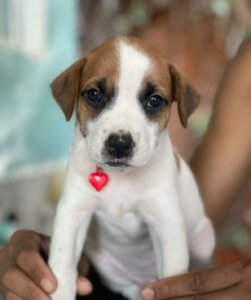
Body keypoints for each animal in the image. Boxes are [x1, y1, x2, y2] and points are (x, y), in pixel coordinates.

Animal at [49, 37, 216, 300]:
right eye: (94, 94)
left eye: (154, 100)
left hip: (203, 240)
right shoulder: (73, 211)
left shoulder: (166, 222)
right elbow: (62, 265)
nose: (119, 143)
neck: (121, 179)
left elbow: (173, 277)